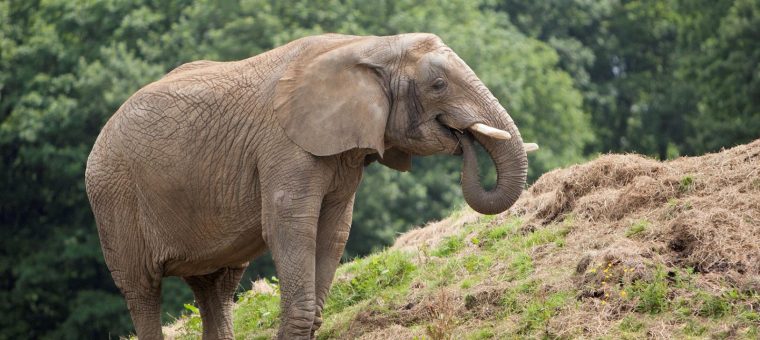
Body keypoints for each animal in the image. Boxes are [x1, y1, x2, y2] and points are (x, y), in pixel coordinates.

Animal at [84, 32, 536, 340]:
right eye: (438, 86)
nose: (464, 138)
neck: (372, 46)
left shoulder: (343, 155)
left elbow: (333, 231)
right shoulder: (284, 146)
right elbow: (292, 228)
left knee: (216, 285)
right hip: (113, 193)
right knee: (142, 288)